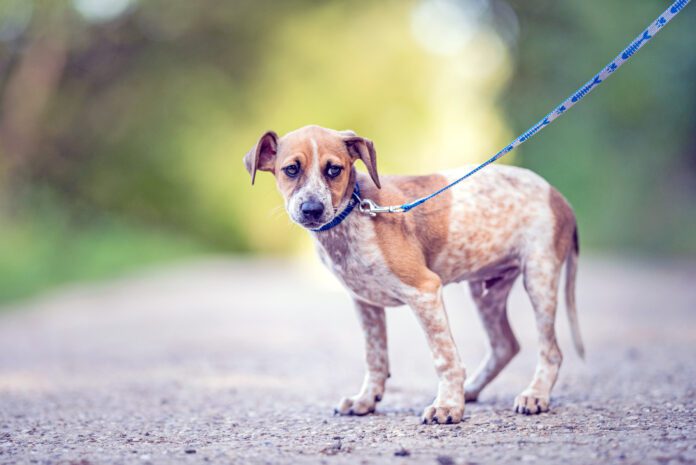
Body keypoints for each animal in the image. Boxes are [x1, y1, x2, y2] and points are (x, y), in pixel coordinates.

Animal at [243, 125, 580, 422]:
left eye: (334, 170)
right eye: (291, 169)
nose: (311, 209)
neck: (352, 216)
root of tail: (558, 195)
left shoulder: (424, 290)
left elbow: (445, 358)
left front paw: (448, 407)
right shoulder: (365, 303)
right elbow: (375, 358)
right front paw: (366, 400)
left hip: (539, 278)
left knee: (551, 351)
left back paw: (535, 395)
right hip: (487, 291)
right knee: (505, 345)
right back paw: (472, 390)